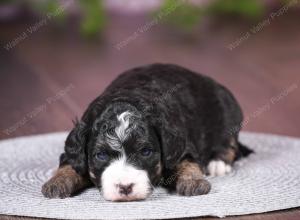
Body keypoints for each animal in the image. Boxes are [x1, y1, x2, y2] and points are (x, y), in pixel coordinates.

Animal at [42, 63, 253, 201]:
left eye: (145, 152)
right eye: (100, 155)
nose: (125, 187)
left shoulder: (181, 147)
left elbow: (188, 163)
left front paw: (194, 182)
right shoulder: (74, 150)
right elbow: (68, 165)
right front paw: (56, 183)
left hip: (228, 110)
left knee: (229, 141)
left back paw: (218, 162)